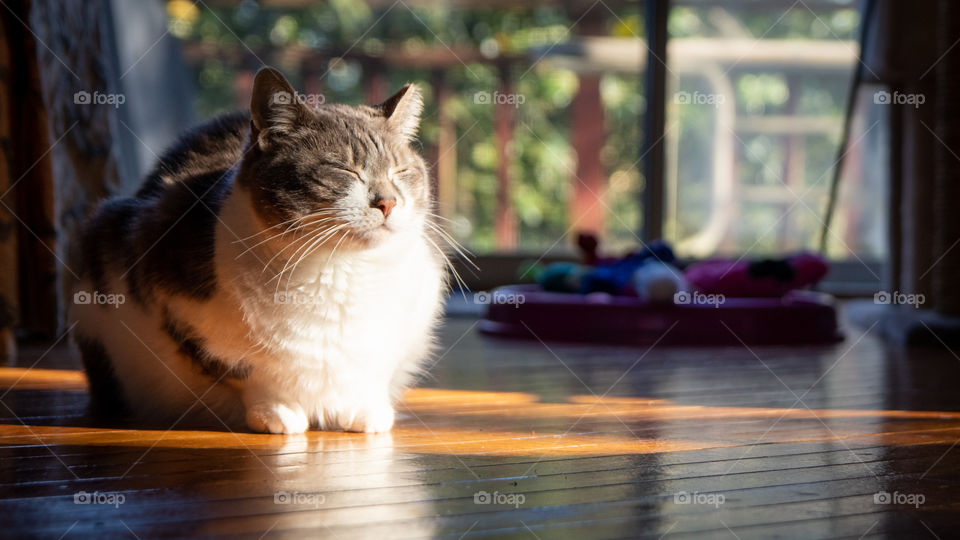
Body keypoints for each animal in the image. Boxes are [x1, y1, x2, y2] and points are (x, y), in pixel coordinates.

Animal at [67, 68, 450, 434]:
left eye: (401, 171)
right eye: (344, 170)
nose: (388, 202)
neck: (338, 271)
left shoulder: (410, 323)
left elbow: (371, 373)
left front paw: (363, 411)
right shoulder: (169, 299)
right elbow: (250, 375)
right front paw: (277, 413)